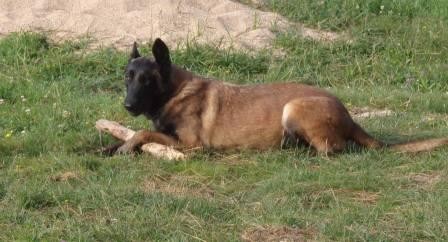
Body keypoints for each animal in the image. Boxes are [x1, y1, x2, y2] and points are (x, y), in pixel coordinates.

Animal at [114, 37, 446, 155]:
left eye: (147, 80)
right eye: (128, 77)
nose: (127, 105)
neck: (174, 91)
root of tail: (349, 115)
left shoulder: (192, 145)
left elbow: (143, 132)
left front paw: (127, 145)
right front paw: (110, 147)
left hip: (294, 108)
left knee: (334, 149)